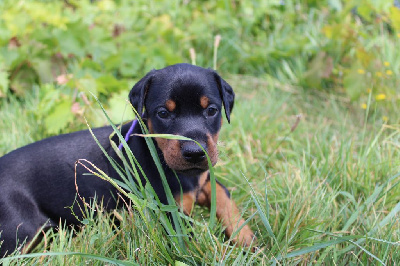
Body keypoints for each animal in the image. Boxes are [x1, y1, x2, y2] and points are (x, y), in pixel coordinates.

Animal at [0, 63, 255, 256]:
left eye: (211, 110)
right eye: (163, 113)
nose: (194, 152)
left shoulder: (202, 179)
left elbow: (223, 194)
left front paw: (247, 239)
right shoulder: (172, 216)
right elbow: (198, 248)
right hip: (24, 228)